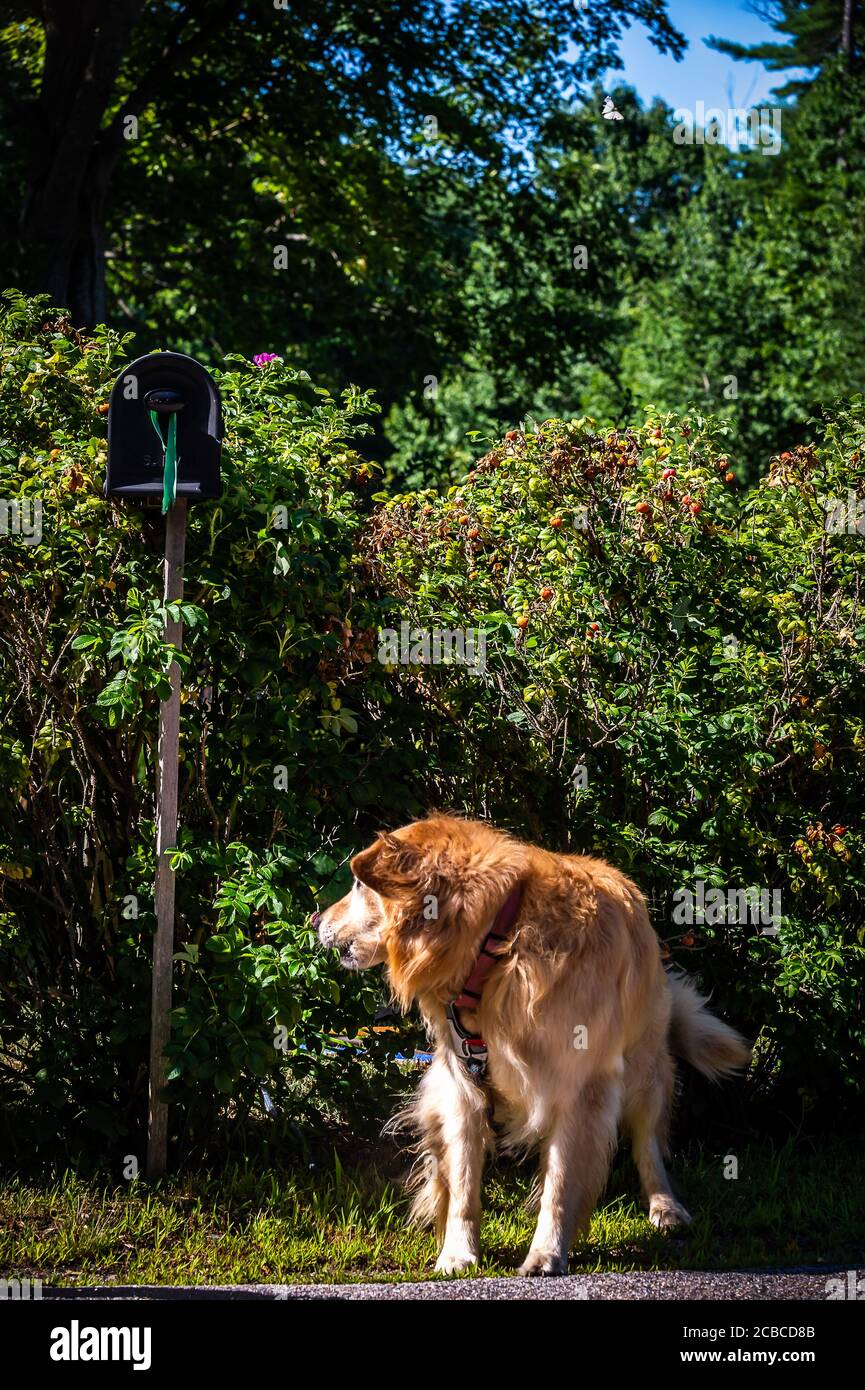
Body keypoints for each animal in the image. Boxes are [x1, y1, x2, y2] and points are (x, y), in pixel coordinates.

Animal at [315, 811, 750, 1278]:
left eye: (359, 886)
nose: (315, 920)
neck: (500, 945)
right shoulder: (460, 1082)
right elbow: (464, 1182)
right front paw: (458, 1253)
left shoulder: (581, 1088)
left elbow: (561, 1182)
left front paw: (546, 1253)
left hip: (645, 1067)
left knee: (648, 1142)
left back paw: (665, 1207)